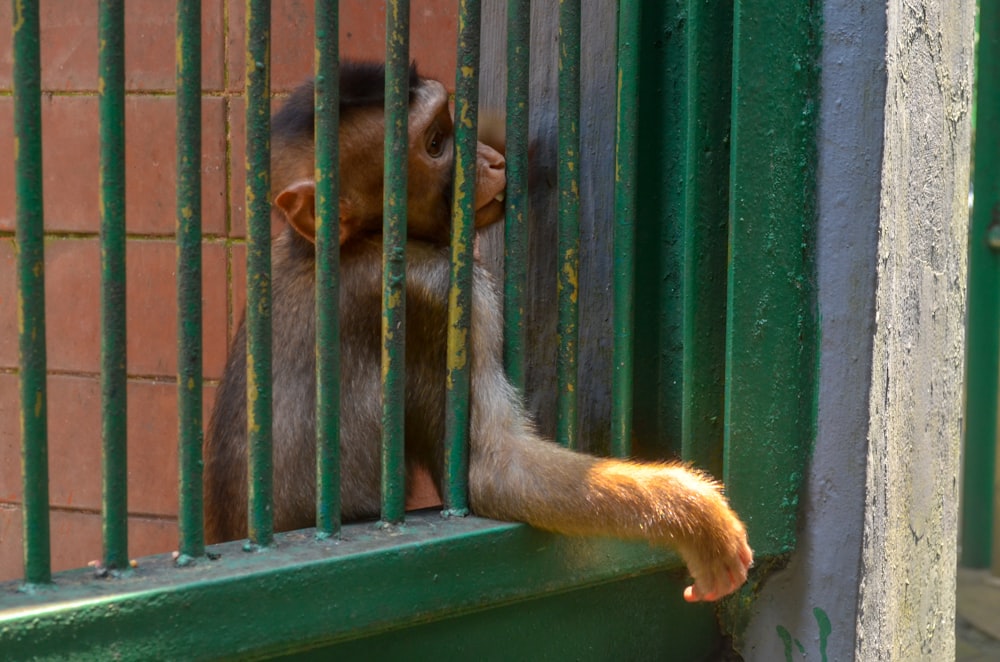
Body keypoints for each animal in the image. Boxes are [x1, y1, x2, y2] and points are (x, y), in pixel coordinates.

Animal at [203, 62, 752, 608]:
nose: (489, 160)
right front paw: (692, 513)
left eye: (450, 124)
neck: (351, 243)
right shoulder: (443, 297)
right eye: (435, 143)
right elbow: (494, 468)